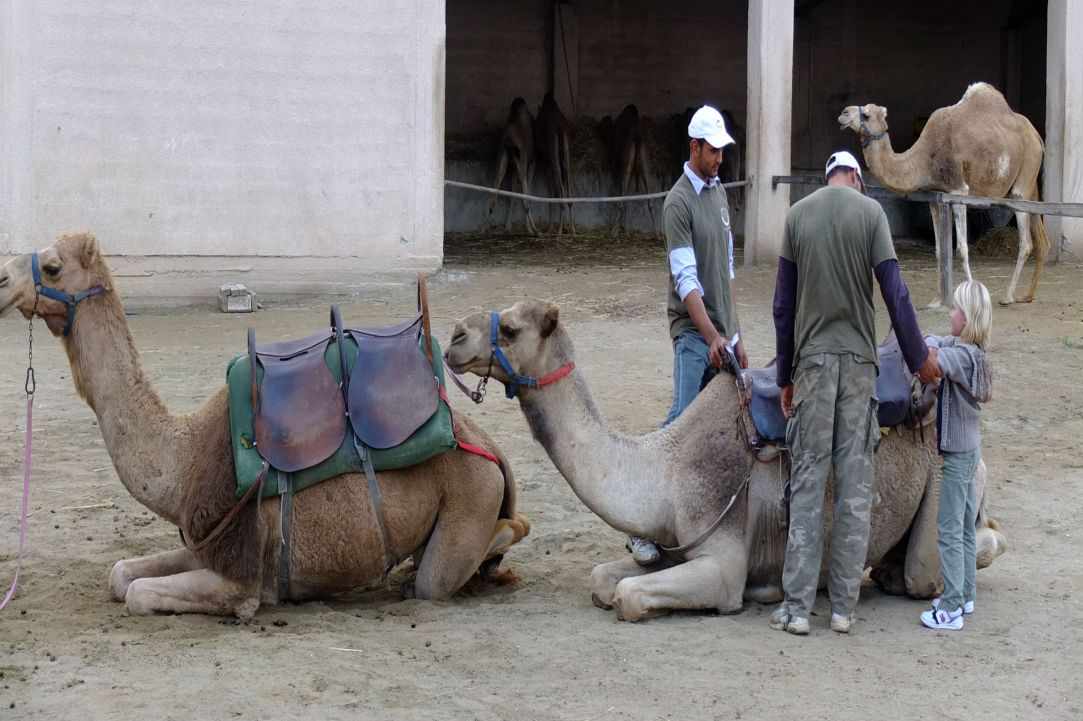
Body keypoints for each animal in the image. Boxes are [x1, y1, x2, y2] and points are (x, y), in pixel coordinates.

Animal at [0, 233, 530, 619]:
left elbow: (139, 593)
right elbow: (120, 573)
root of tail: (490, 448)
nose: (2, 278)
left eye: (52, 266)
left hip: (467, 505)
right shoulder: (204, 544)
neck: (183, 463)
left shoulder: (241, 574)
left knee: (454, 566)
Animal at [445, 300, 1007, 621]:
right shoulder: (675, 542)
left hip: (947, 472)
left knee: (939, 565)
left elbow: (628, 595)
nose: (452, 338)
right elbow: (604, 580)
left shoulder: (722, 560)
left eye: (511, 329)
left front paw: (763, 593)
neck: (665, 469)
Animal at [488, 97, 540, 236]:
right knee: (525, 199)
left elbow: (512, 194)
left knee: (493, 193)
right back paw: (533, 230)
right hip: (522, 162)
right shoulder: (531, 162)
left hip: (503, 160)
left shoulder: (513, 167)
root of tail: (509, 142)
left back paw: (487, 227)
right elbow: (526, 194)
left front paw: (508, 227)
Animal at [535, 92, 576, 237]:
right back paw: (572, 229)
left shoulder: (546, 161)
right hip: (566, 150)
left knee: (558, 180)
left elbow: (550, 191)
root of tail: (560, 127)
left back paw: (559, 231)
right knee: (568, 175)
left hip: (553, 152)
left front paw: (550, 228)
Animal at [839, 82, 1048, 305]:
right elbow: (940, 250)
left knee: (1026, 242)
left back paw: (1008, 296)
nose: (843, 113)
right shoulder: (935, 196)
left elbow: (962, 249)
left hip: (1024, 177)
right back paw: (1028, 295)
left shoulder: (959, 191)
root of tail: (1037, 136)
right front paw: (937, 300)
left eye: (867, 115)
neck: (925, 157)